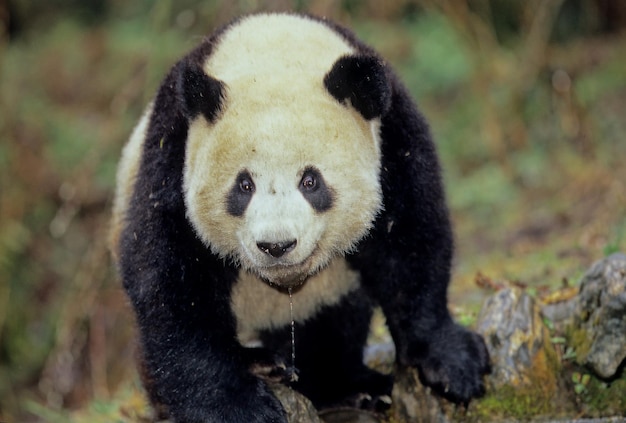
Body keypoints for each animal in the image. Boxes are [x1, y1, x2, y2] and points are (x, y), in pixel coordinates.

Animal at [109, 12, 490, 423]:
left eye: (311, 181)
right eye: (244, 185)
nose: (276, 246)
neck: (274, 54)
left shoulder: (392, 136)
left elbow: (410, 240)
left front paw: (453, 363)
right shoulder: (172, 156)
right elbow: (171, 281)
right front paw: (237, 407)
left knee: (331, 326)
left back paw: (348, 386)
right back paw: (264, 364)